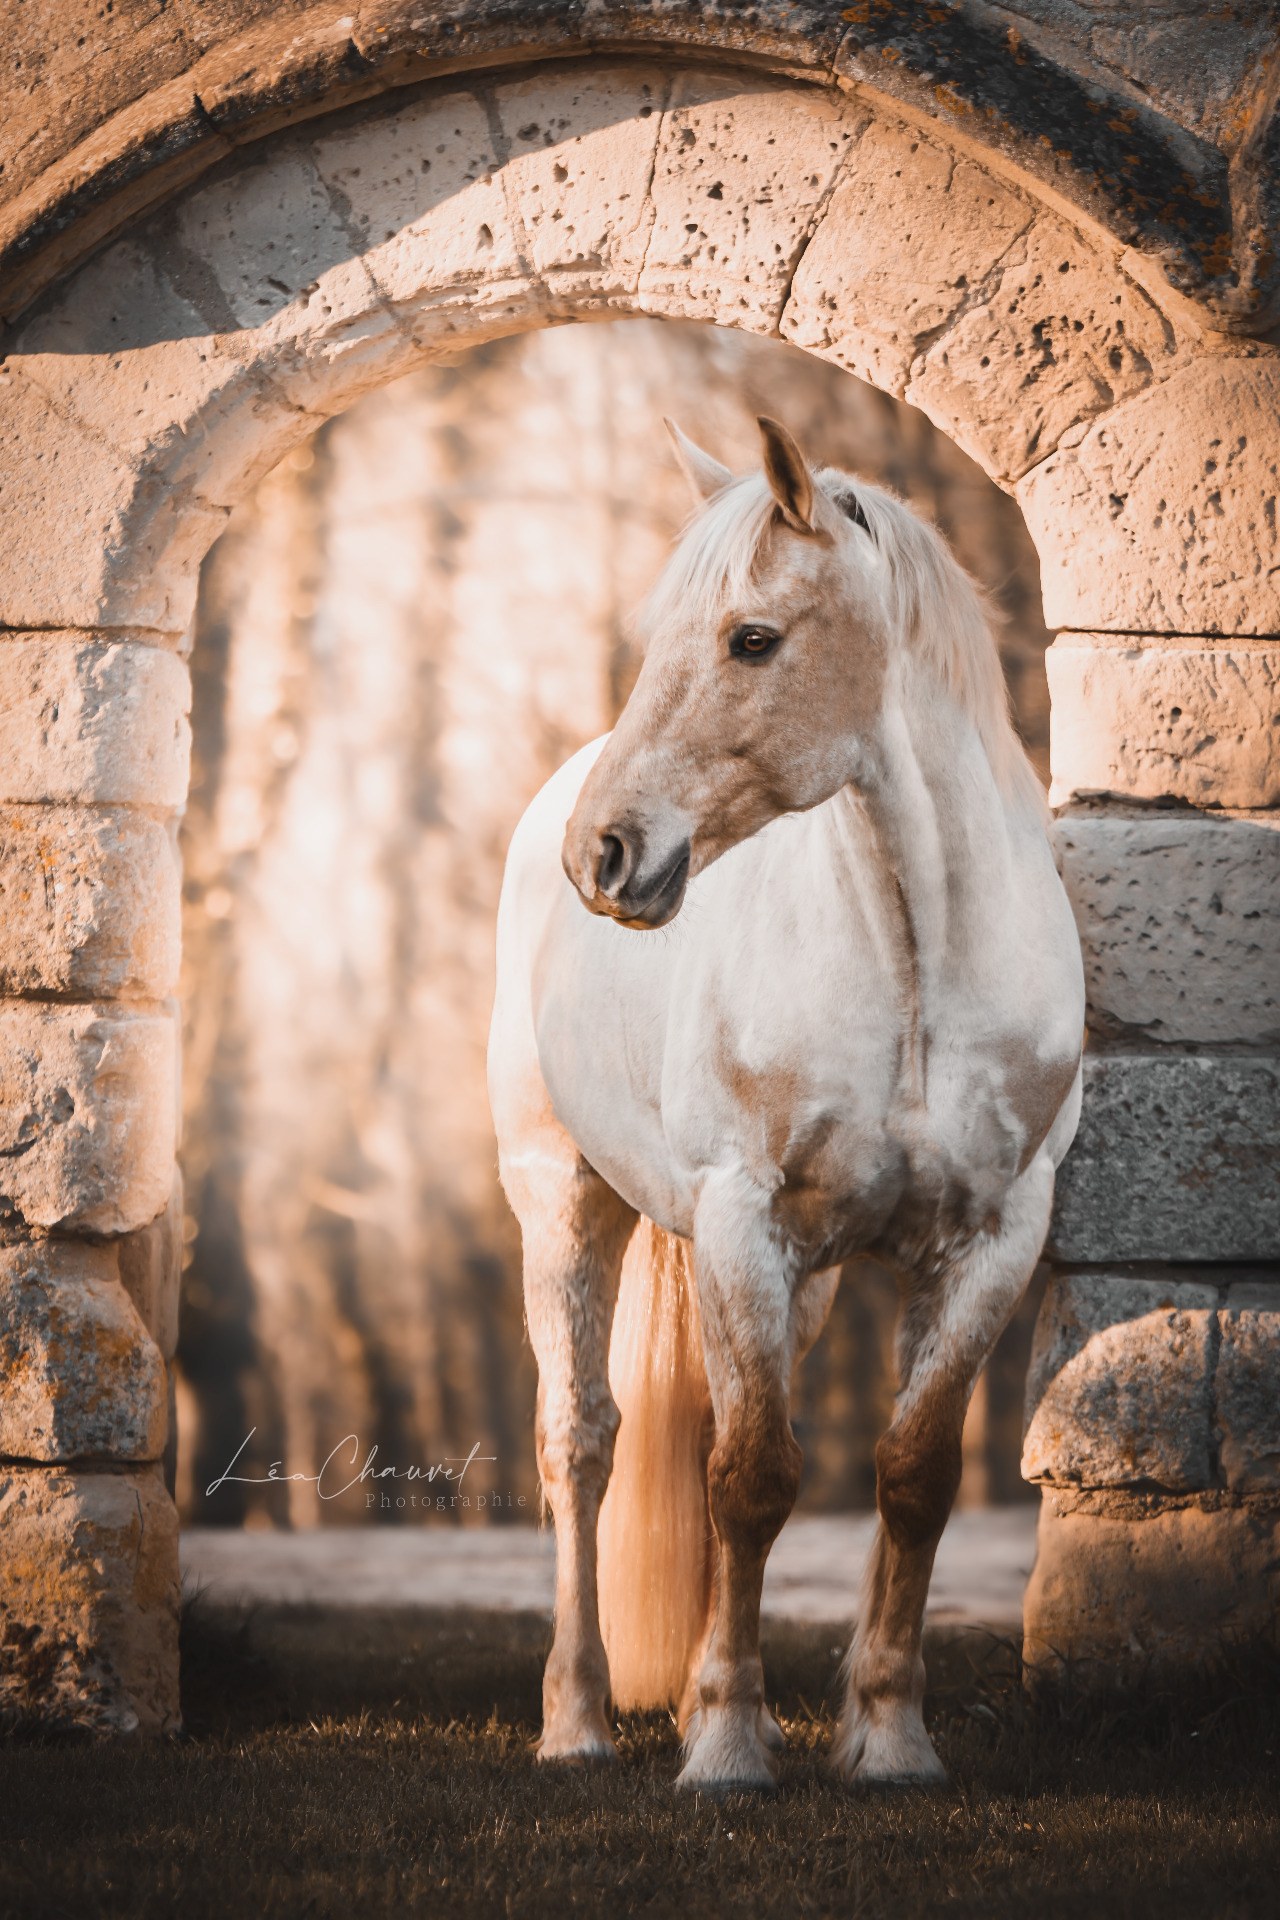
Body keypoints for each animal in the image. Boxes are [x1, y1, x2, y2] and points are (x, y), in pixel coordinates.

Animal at [487, 414, 1084, 1793]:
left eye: (751, 638)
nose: (603, 854)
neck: (915, 966)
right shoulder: (739, 1221)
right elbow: (752, 1477)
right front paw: (723, 1749)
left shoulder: (990, 1241)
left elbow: (909, 1475)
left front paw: (886, 1737)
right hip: (564, 1202)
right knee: (580, 1444)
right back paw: (577, 1723)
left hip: (789, 1280)